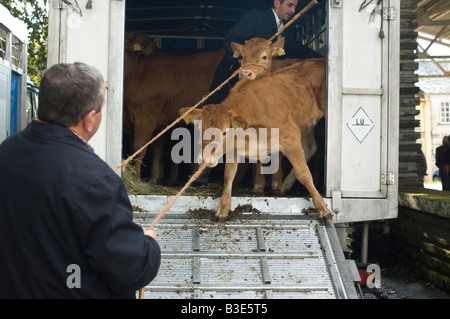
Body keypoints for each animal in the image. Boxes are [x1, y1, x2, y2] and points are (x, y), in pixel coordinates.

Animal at [179, 57, 330, 224]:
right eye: (201, 129)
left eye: (225, 132)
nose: (204, 159)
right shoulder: (234, 150)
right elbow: (228, 177)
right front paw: (223, 209)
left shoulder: (290, 139)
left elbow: (304, 173)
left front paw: (322, 209)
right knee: (311, 147)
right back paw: (283, 187)